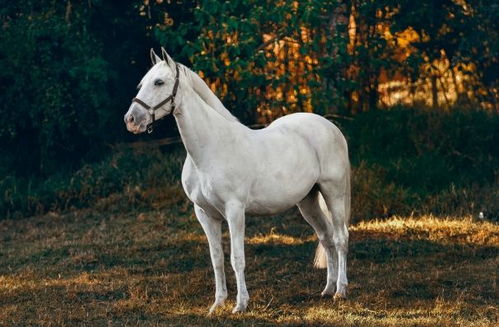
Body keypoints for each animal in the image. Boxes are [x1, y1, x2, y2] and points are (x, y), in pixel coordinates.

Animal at [125, 48, 352, 316]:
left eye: (159, 82)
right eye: (141, 84)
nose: (131, 120)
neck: (210, 148)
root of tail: (330, 127)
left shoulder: (235, 211)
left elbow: (237, 258)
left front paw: (240, 304)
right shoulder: (205, 214)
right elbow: (216, 259)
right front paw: (217, 304)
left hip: (333, 192)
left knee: (340, 238)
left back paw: (340, 291)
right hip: (307, 201)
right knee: (326, 237)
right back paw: (327, 289)